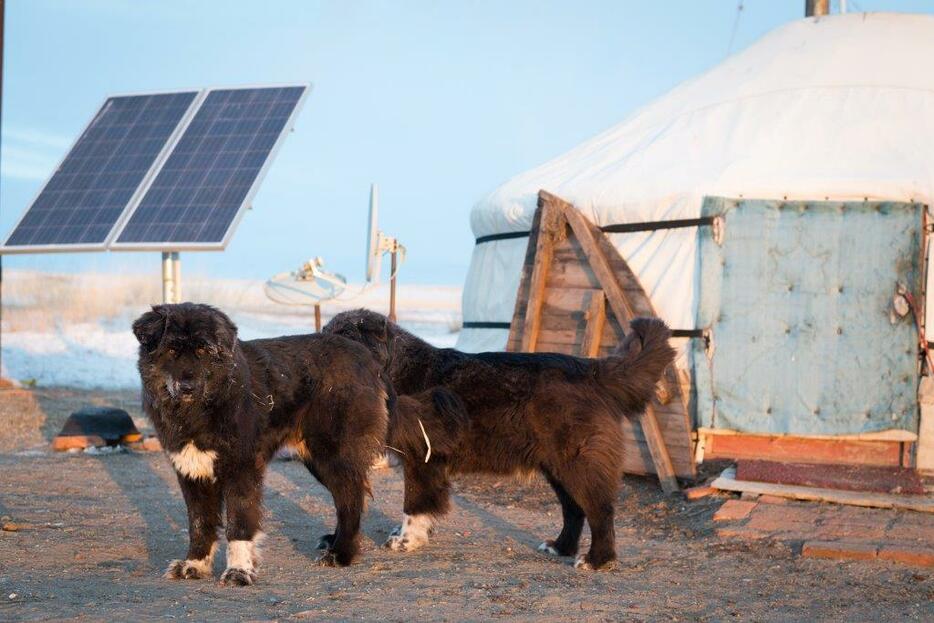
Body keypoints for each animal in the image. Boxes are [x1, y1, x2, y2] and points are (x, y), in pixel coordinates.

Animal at [133, 304, 390, 588]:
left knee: (350, 500)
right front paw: (195, 565)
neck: (201, 410)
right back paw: (333, 543)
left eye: (203, 351)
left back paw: (341, 553)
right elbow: (200, 523)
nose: (187, 387)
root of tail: (359, 349)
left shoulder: (241, 468)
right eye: (172, 350)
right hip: (317, 459)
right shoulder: (192, 469)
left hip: (332, 454)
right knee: (347, 497)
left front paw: (238, 571)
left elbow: (239, 522)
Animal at [326, 310, 676, 572]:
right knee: (575, 511)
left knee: (600, 511)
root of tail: (593, 370)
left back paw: (597, 560)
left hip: (578, 465)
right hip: (558, 468)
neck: (393, 369)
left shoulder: (421, 460)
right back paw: (560, 547)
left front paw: (406, 541)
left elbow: (414, 504)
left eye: (343, 336)